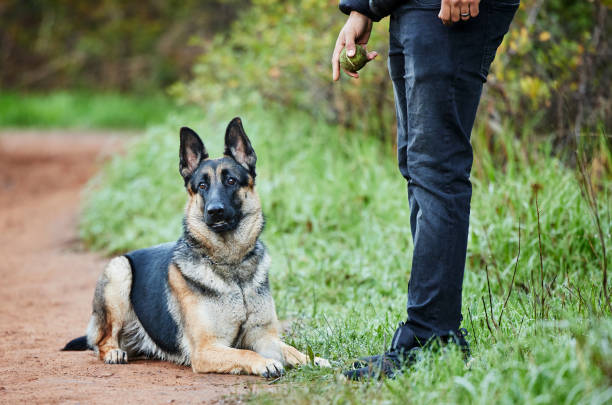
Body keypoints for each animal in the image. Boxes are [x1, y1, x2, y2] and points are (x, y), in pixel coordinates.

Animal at [62, 118, 330, 378]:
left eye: (231, 181)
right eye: (202, 186)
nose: (215, 211)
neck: (231, 266)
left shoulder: (263, 336)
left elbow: (291, 350)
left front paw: (314, 360)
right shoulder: (206, 349)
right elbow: (246, 353)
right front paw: (265, 363)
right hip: (119, 269)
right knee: (102, 341)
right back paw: (113, 352)